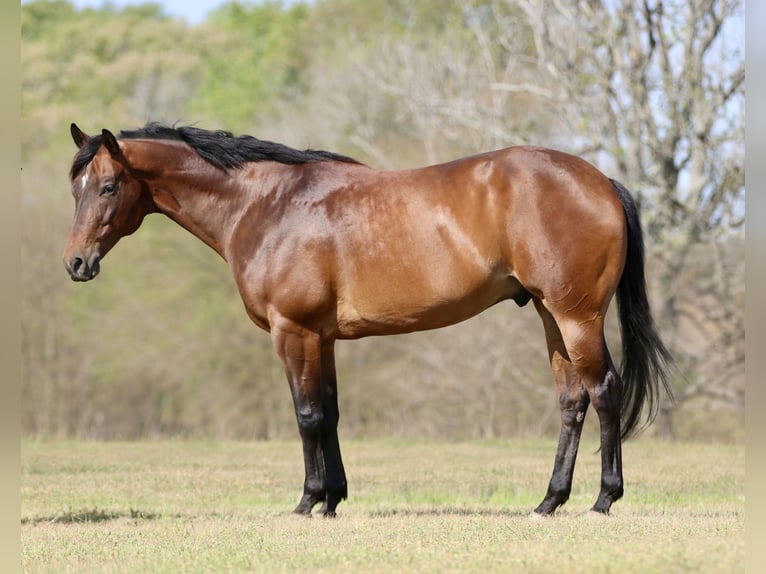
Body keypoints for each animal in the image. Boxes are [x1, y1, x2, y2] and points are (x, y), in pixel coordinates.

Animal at [63, 122, 672, 517]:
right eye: (76, 188)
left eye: (109, 186)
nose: (76, 263)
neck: (268, 205)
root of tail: (601, 182)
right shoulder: (323, 338)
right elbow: (329, 413)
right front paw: (334, 498)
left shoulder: (293, 331)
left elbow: (307, 415)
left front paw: (307, 501)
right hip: (551, 316)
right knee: (572, 400)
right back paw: (549, 501)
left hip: (576, 316)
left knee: (605, 391)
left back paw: (603, 499)